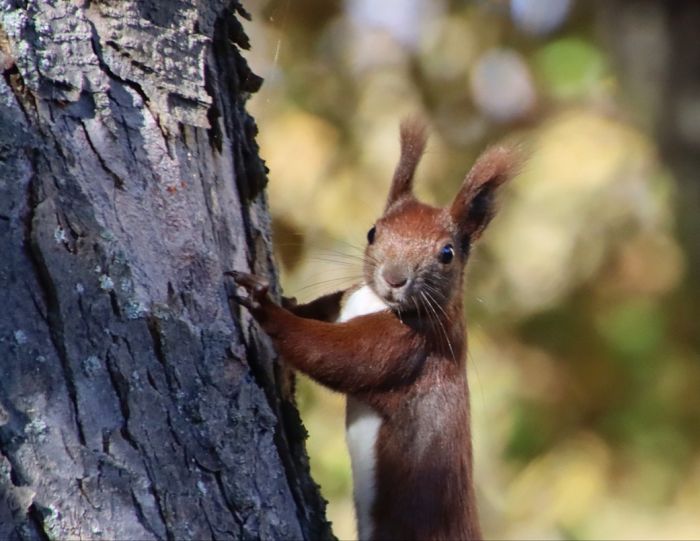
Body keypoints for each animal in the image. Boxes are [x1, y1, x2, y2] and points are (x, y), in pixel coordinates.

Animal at [227, 119, 520, 541]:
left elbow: (337, 357)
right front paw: (287, 301)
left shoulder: (409, 349)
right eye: (372, 232)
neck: (377, 302)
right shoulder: (345, 303)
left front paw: (266, 308)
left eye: (447, 253)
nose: (394, 278)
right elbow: (319, 317)